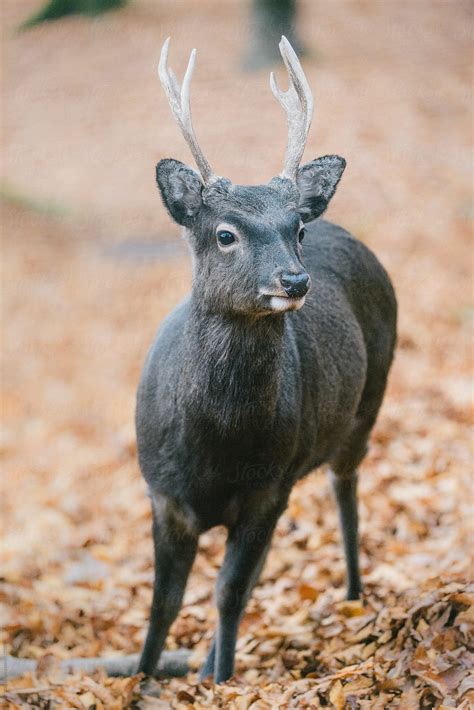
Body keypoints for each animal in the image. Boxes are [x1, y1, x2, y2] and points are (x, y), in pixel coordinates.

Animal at [136, 37, 396, 684]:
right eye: (225, 234)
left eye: (296, 228)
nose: (294, 280)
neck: (218, 446)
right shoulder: (164, 493)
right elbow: (165, 602)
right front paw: (142, 678)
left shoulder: (265, 488)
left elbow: (227, 593)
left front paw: (222, 681)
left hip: (368, 403)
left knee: (345, 486)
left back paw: (355, 596)